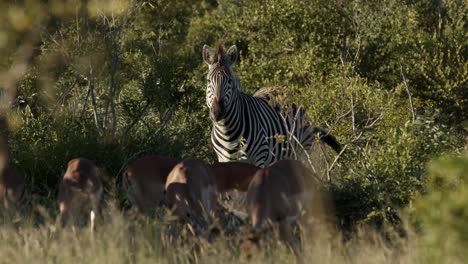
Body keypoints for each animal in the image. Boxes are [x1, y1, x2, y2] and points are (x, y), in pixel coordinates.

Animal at [202, 43, 340, 167]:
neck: (228, 133)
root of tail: (280, 86)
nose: (217, 112)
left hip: (303, 151)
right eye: (208, 81)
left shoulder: (259, 158)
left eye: (230, 80)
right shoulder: (224, 160)